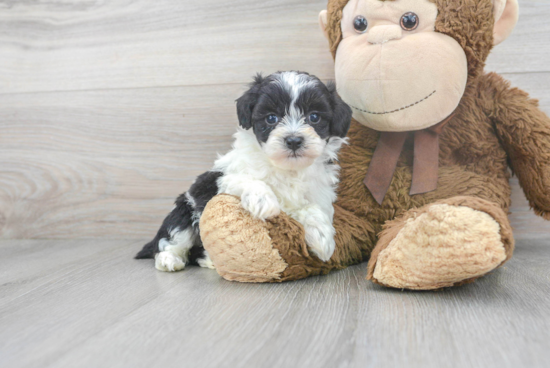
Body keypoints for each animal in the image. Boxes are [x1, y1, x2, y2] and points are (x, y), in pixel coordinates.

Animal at [137, 72, 354, 272]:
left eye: (314, 117)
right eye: (271, 118)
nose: (293, 140)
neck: (286, 169)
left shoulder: (317, 192)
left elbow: (312, 209)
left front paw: (322, 238)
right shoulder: (220, 179)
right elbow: (249, 180)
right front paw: (263, 201)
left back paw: (209, 261)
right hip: (184, 210)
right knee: (172, 240)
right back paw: (169, 260)